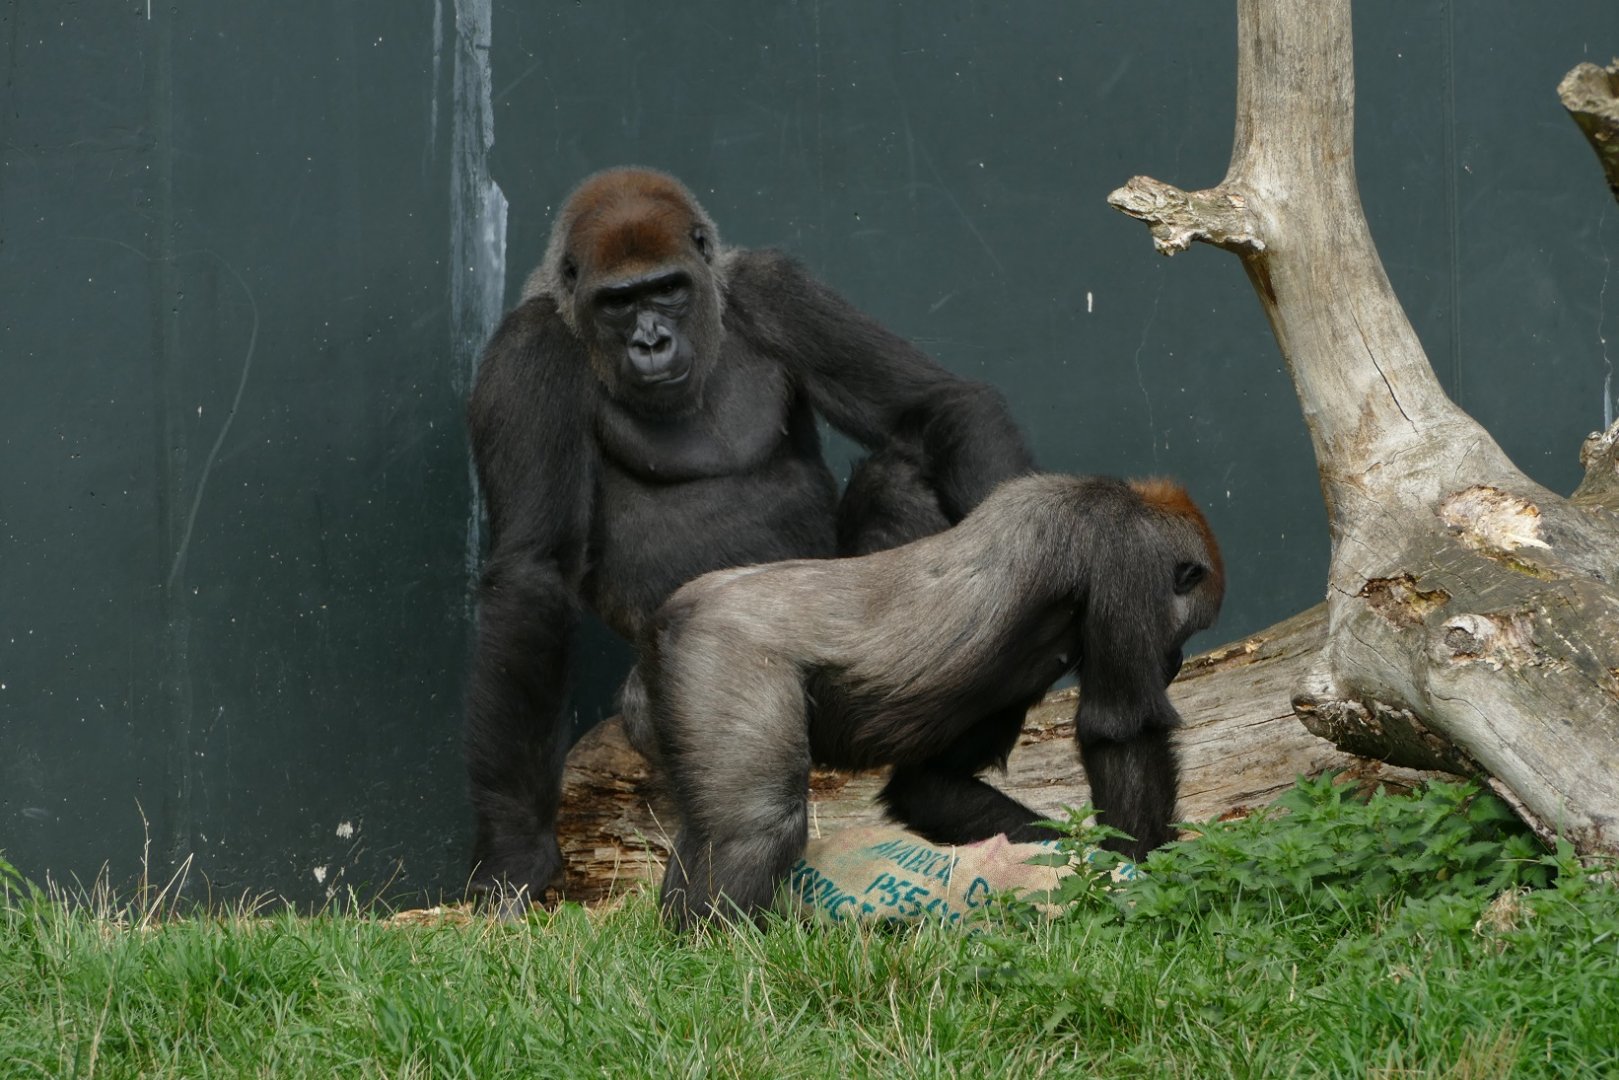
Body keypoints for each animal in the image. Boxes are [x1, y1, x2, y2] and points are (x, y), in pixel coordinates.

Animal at [465, 167, 1033, 899]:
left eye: (667, 289)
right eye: (618, 302)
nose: (651, 341)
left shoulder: (773, 286)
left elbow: (936, 403)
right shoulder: (526, 351)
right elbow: (533, 575)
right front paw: (515, 846)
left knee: (903, 470)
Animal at [623, 473, 1224, 930]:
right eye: (1186, 633)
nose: (1173, 663)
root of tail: (667, 616)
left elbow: (930, 784)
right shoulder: (1130, 556)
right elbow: (1122, 729)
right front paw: (1143, 879)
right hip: (720, 649)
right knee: (754, 825)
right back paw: (722, 949)